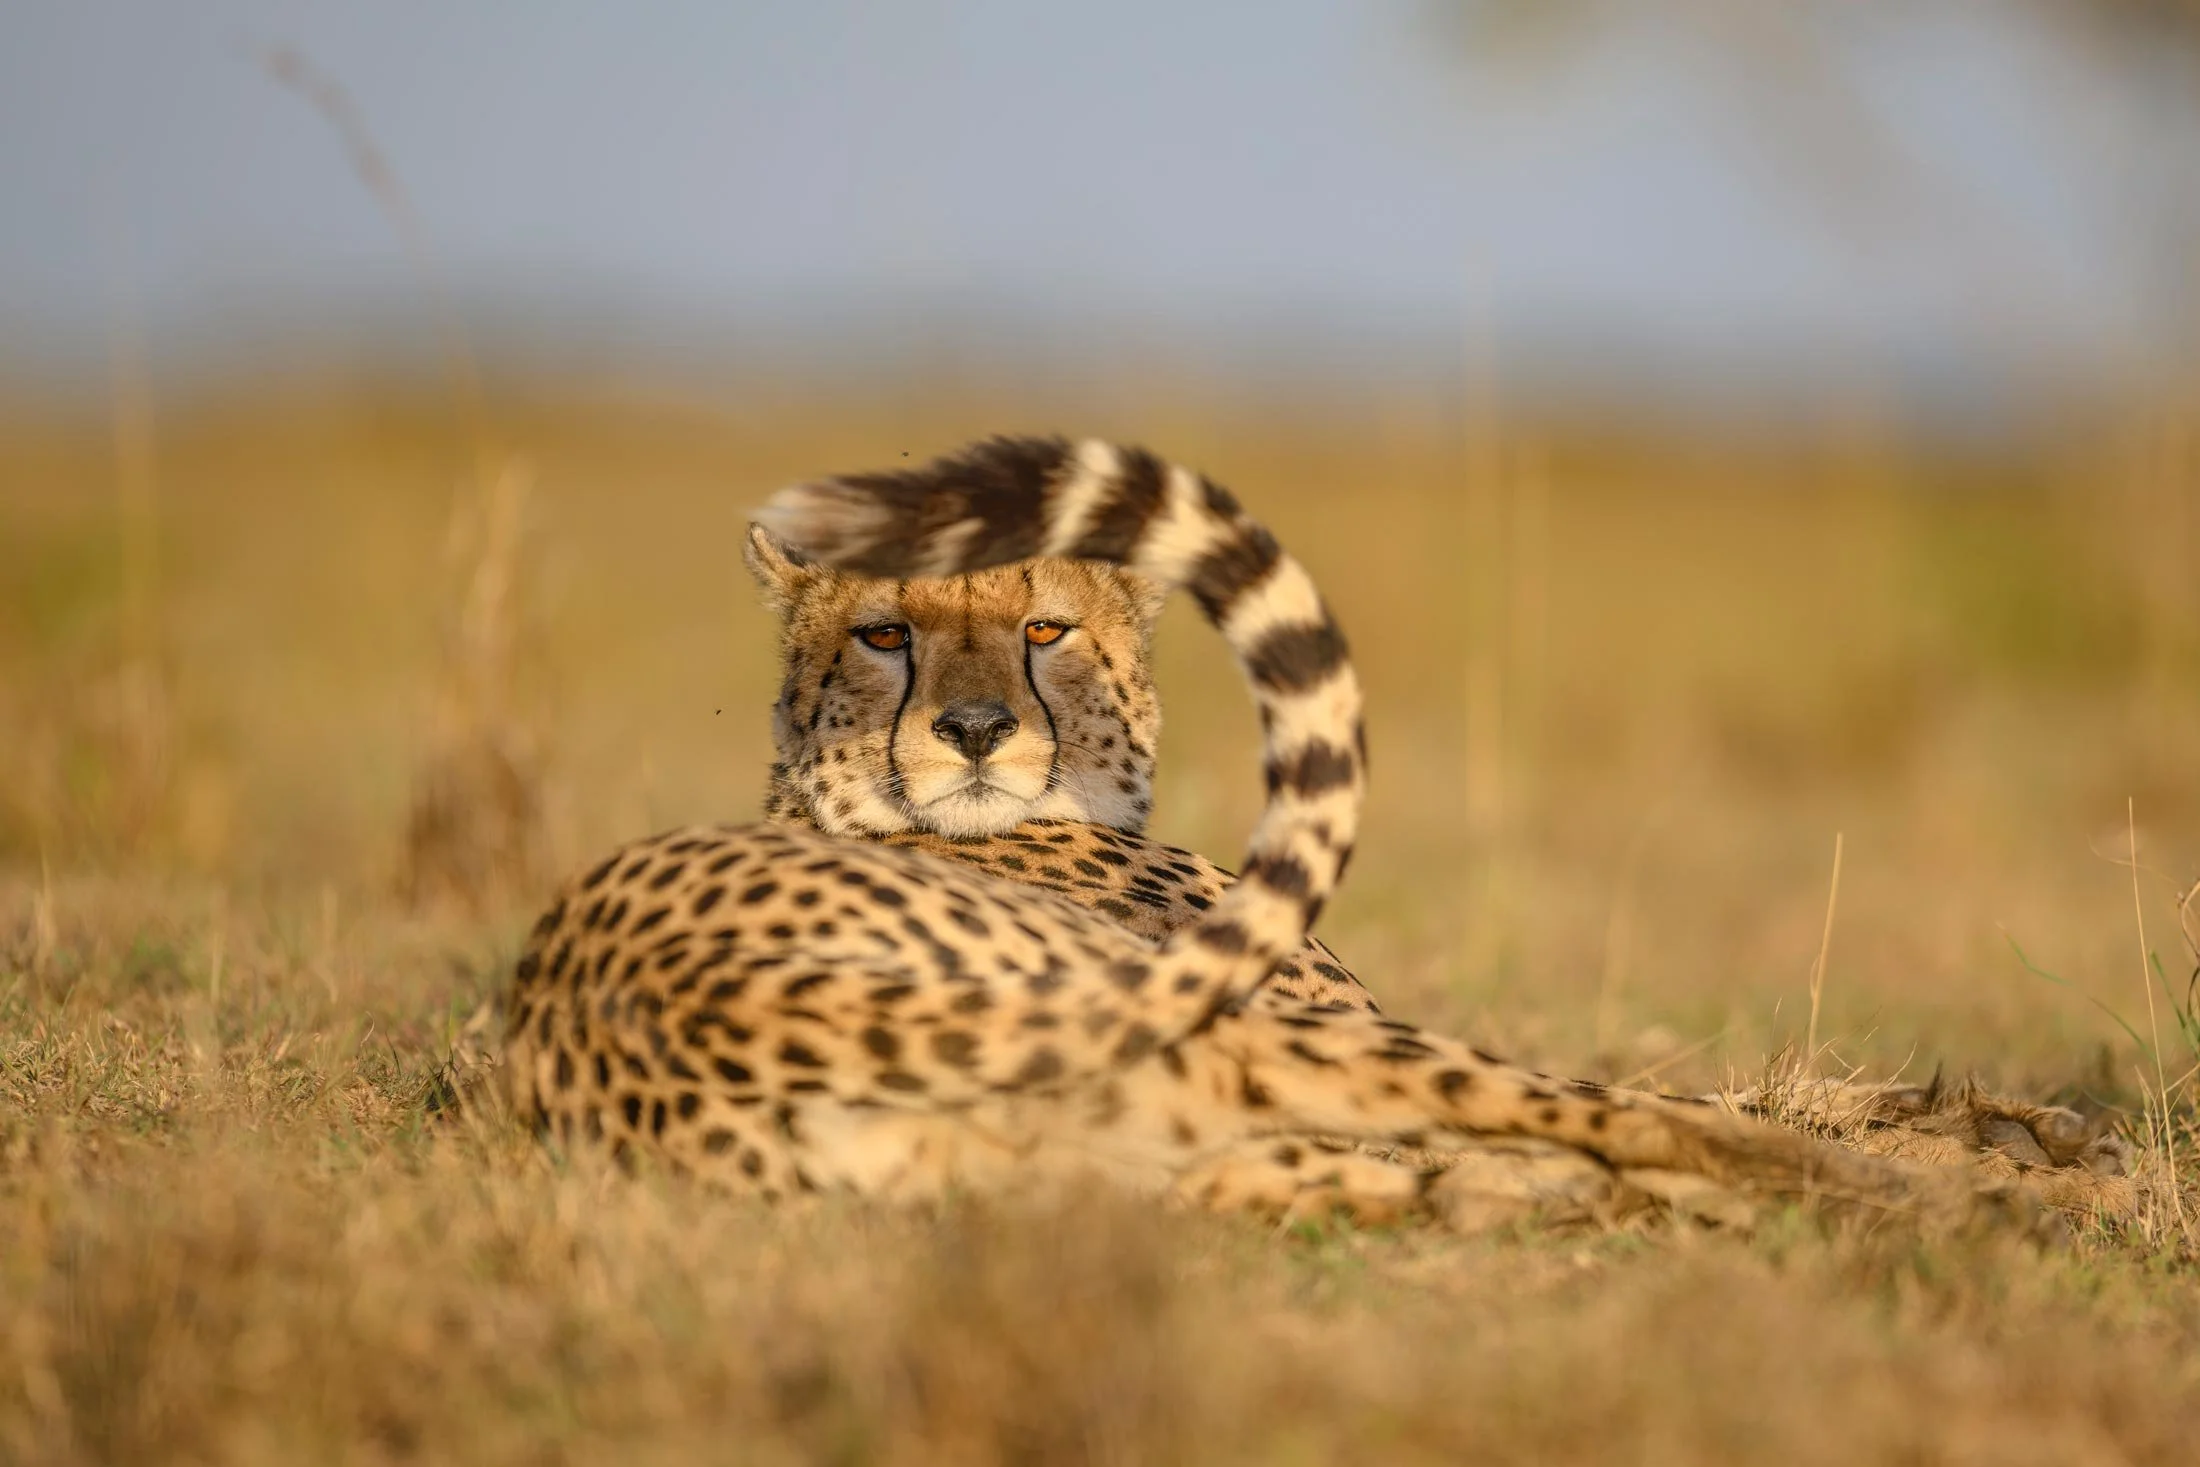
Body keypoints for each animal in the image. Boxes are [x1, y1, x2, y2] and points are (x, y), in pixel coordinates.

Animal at [489, 434, 2100, 1234]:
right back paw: (1963, 1196)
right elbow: (1718, 1088)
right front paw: (2006, 1128)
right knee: (1638, 1123)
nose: (972, 731)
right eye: (886, 633)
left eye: (1042, 628)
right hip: (1283, 1048)